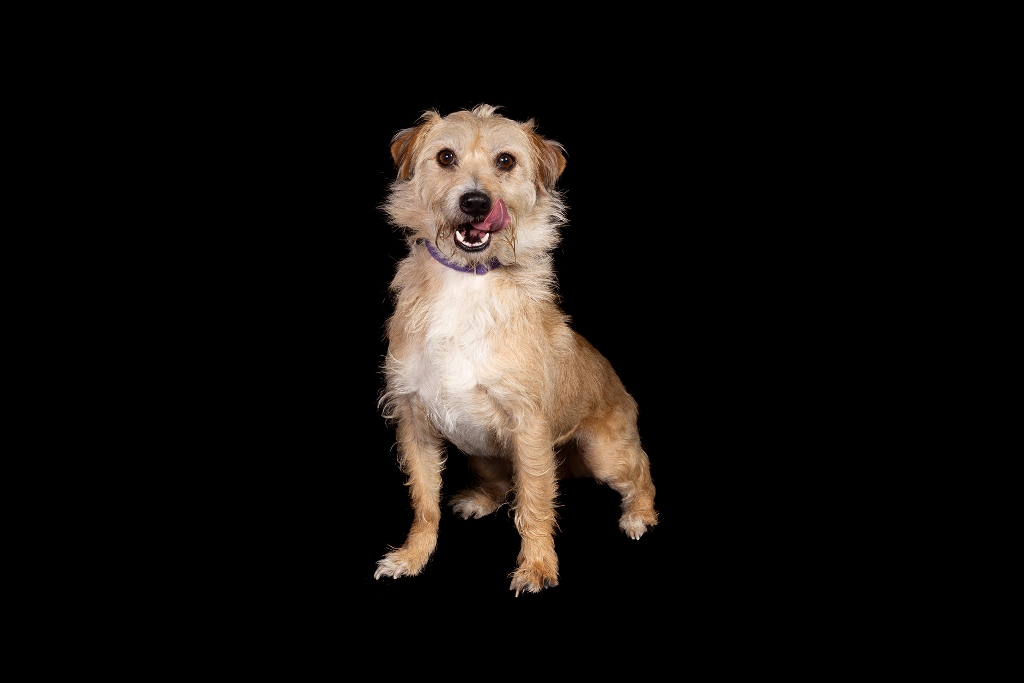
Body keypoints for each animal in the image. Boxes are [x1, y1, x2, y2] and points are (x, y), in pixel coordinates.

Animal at [374, 104, 657, 595]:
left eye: (505, 161)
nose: (476, 202)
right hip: (480, 451)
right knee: (501, 483)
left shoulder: (530, 428)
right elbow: (425, 501)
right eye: (445, 157)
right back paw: (480, 499)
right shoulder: (413, 420)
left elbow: (535, 504)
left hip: (605, 454)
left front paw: (538, 568)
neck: (468, 279)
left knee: (641, 471)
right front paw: (412, 557)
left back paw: (639, 514)